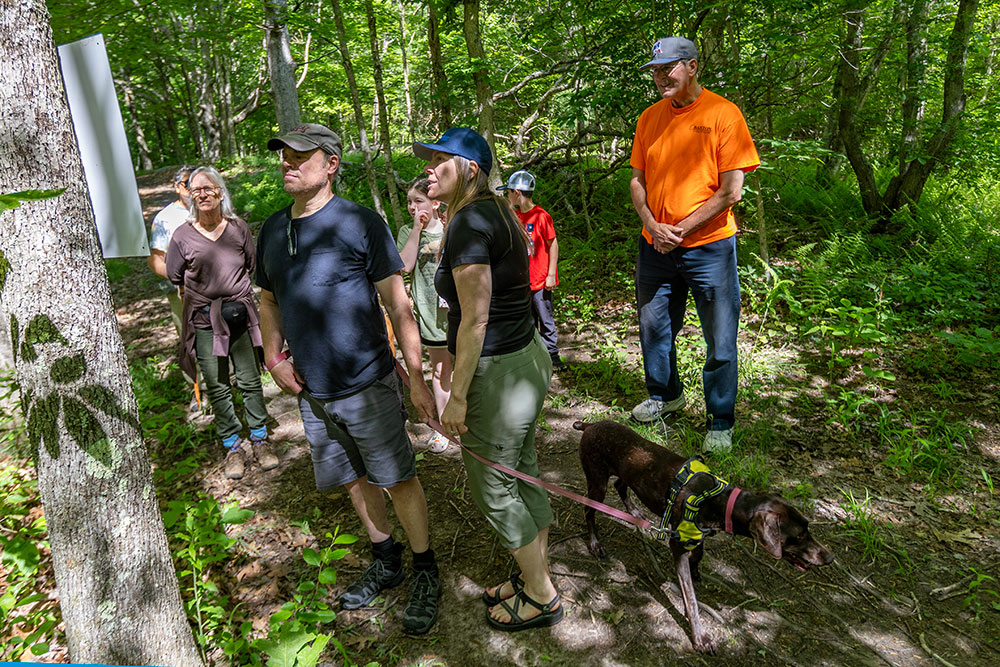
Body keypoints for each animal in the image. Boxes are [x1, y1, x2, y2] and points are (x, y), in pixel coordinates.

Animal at [576, 420, 832, 656]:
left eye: (808, 528)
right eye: (799, 535)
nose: (829, 558)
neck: (718, 501)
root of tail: (590, 425)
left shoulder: (697, 534)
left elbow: (699, 553)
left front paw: (697, 570)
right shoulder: (677, 545)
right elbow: (691, 600)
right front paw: (701, 638)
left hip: (625, 474)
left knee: (621, 484)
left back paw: (634, 512)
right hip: (597, 481)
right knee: (589, 510)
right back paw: (595, 544)